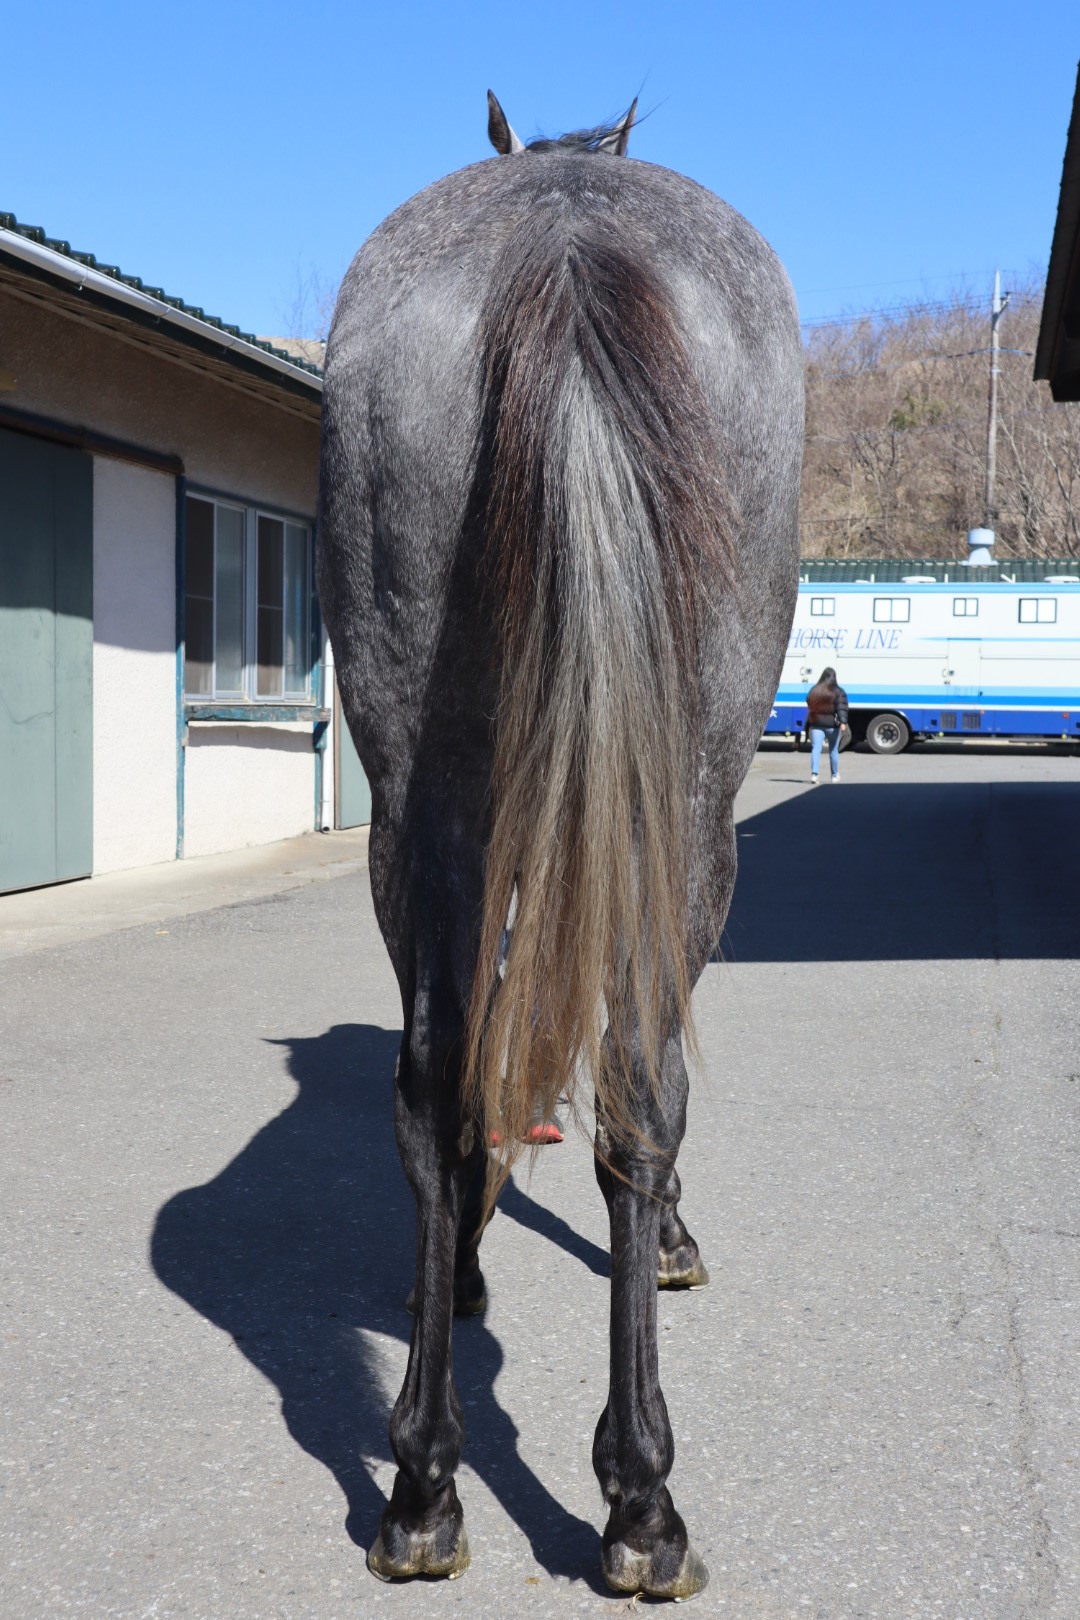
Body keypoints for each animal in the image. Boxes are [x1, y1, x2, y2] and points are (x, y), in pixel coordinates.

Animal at [316, 91, 803, 1600]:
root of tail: (562, 234)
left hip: (416, 802)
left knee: (429, 1080)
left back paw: (422, 1482)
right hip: (684, 822)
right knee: (641, 1081)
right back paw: (642, 1501)